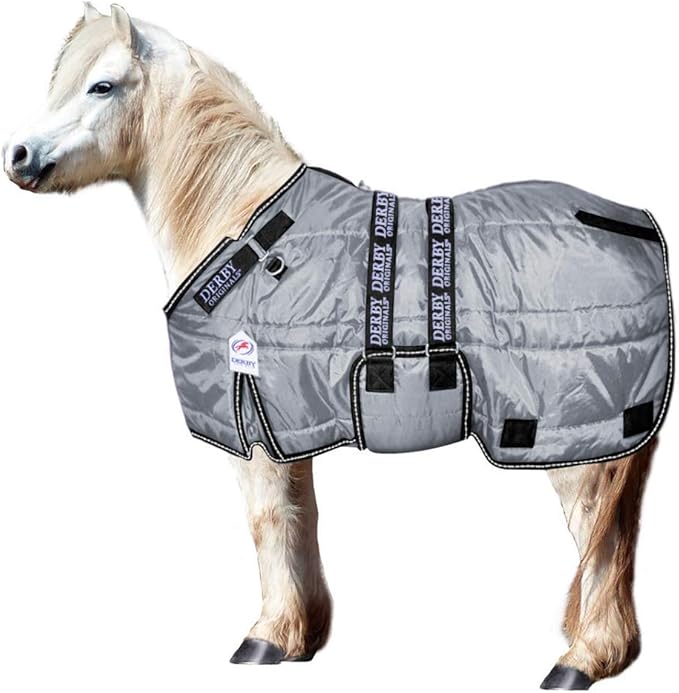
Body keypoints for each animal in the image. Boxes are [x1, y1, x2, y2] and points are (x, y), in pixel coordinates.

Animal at [2, 5, 663, 689]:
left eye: (100, 86)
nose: (18, 155)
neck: (242, 228)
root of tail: (635, 227)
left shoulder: (251, 428)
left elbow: (268, 522)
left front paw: (265, 637)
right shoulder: (286, 426)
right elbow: (301, 518)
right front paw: (302, 636)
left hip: (575, 449)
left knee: (598, 541)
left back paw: (582, 658)